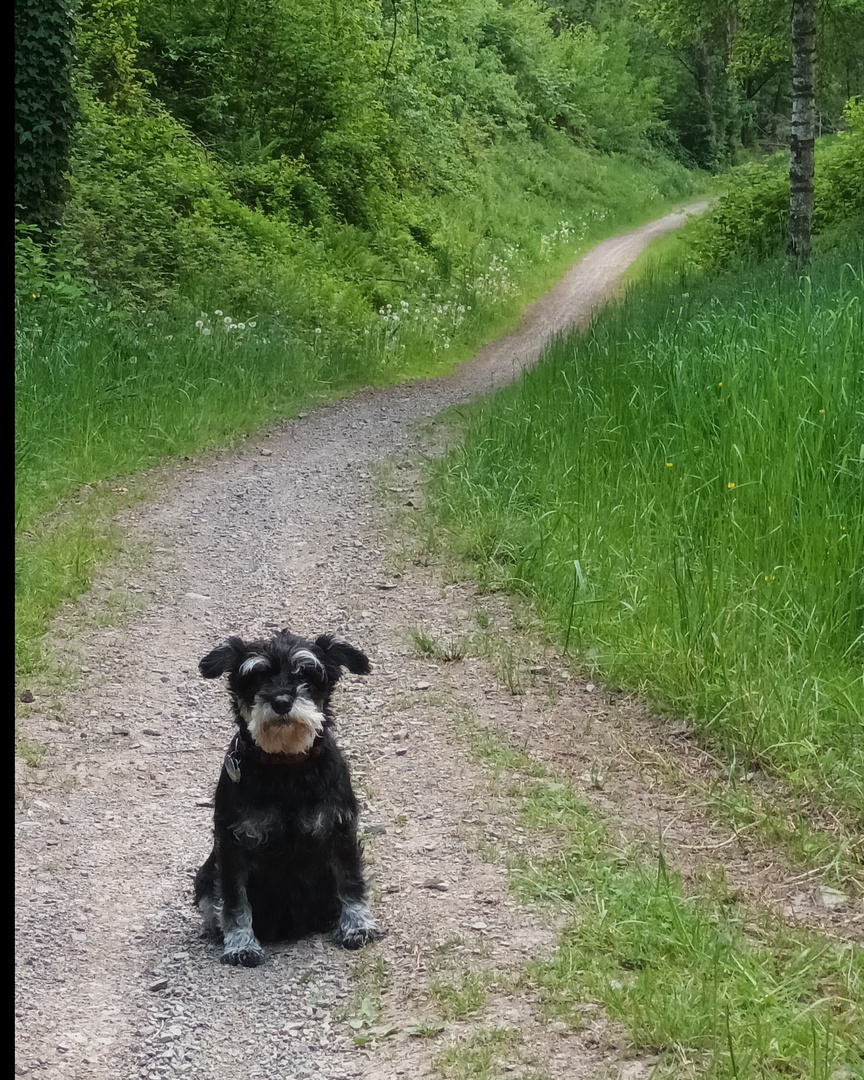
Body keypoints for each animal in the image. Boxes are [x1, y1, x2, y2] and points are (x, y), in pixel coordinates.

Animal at [195, 630, 384, 967]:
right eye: (256, 676)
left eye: (305, 673)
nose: (282, 702)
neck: (286, 765)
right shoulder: (233, 844)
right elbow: (234, 899)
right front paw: (241, 944)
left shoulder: (340, 829)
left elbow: (351, 882)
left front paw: (357, 927)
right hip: (205, 875)